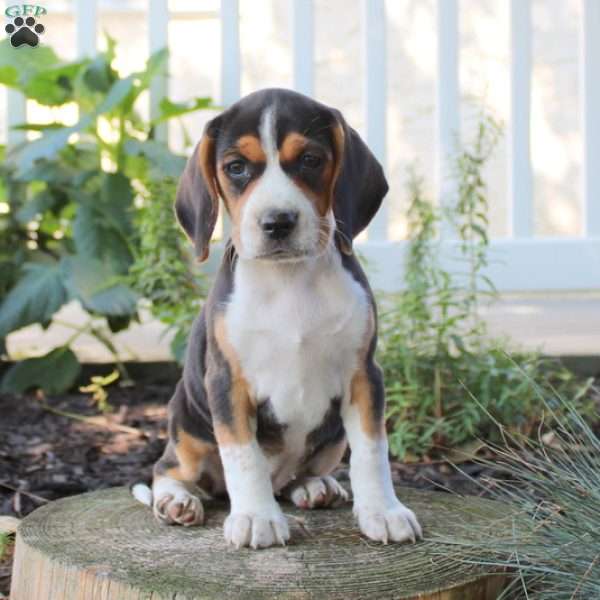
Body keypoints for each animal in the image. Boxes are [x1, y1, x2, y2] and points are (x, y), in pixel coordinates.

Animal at [135, 86, 422, 552]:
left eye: (310, 160)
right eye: (236, 167)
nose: (277, 222)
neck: (289, 280)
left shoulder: (364, 375)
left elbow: (372, 450)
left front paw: (383, 511)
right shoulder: (227, 382)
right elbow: (243, 455)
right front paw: (256, 517)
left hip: (331, 437)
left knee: (297, 476)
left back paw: (314, 486)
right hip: (187, 423)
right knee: (169, 469)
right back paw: (177, 501)